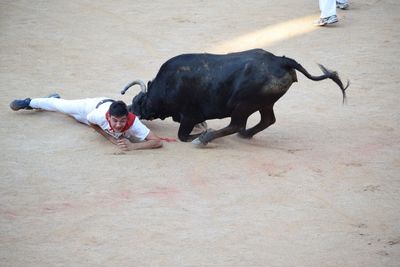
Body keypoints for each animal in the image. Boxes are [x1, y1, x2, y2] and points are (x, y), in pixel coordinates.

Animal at [120, 49, 348, 147]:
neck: (166, 85)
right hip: (264, 103)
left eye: (139, 102)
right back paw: (245, 135)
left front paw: (200, 134)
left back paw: (206, 139)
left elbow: (182, 136)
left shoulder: (189, 116)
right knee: (266, 120)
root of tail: (282, 61)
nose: (129, 109)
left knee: (236, 124)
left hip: (244, 104)